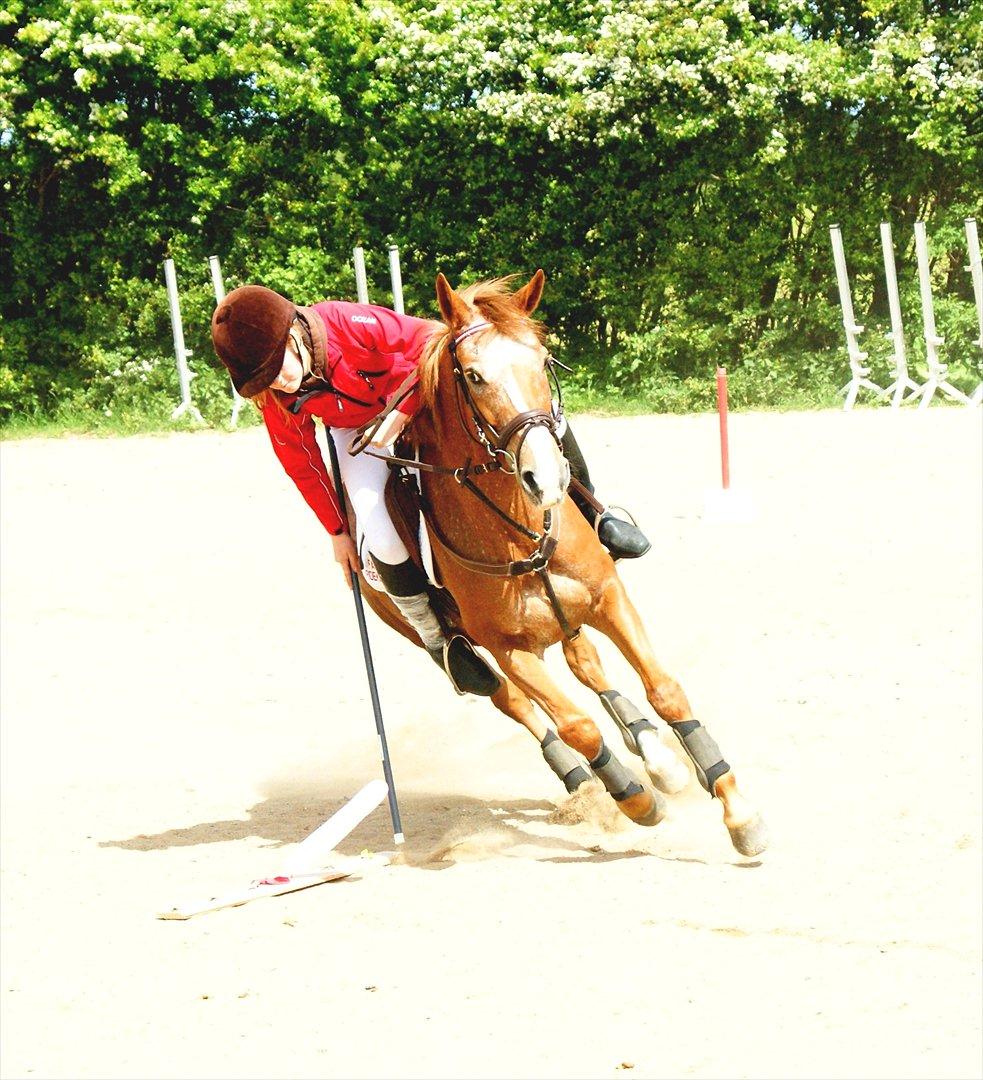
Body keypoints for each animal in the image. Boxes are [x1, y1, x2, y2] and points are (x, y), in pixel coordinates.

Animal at [355, 270, 767, 857]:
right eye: (474, 376)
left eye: (543, 361)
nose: (547, 478)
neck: (515, 531)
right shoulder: (511, 650)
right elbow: (576, 726)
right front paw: (633, 798)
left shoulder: (608, 598)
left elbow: (665, 690)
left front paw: (736, 808)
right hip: (448, 645)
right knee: (518, 704)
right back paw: (593, 777)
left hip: (570, 616)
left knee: (588, 666)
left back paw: (656, 754)